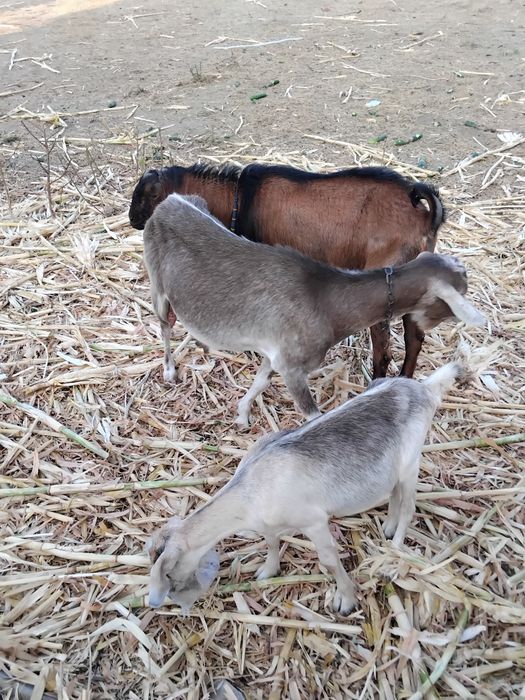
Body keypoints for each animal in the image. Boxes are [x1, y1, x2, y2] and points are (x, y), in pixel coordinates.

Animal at [130, 161, 446, 378]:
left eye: (145, 197)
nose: (132, 219)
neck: (239, 197)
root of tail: (422, 212)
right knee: (414, 339)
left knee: (383, 351)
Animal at [143, 193, 484, 426]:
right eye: (454, 300)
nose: (426, 326)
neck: (327, 301)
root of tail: (170, 201)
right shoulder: (293, 367)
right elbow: (314, 417)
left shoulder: (277, 353)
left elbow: (260, 381)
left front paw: (241, 415)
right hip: (158, 284)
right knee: (164, 324)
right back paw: (170, 370)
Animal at [148, 348, 478, 614]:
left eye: (168, 573)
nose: (169, 601)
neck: (250, 490)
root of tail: (424, 388)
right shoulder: (269, 523)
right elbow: (271, 541)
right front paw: (267, 571)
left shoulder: (314, 521)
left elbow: (329, 560)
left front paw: (346, 600)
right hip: (394, 468)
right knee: (394, 493)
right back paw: (387, 527)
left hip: (411, 461)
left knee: (408, 505)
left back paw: (393, 553)